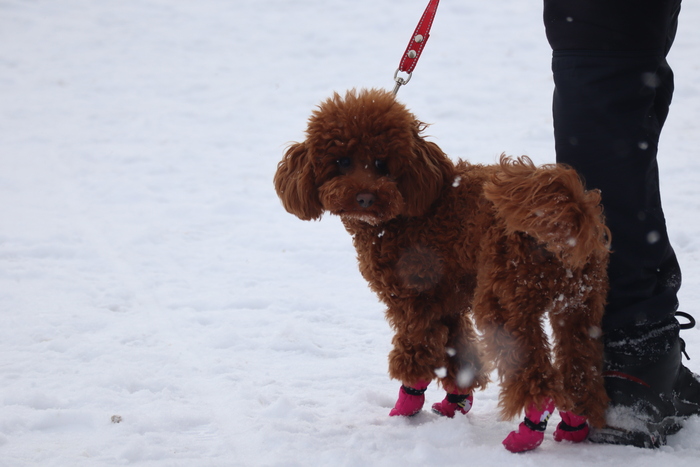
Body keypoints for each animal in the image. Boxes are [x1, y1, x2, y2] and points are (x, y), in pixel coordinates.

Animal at [274, 88, 610, 452]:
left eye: (381, 163)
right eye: (342, 162)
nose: (364, 198)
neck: (401, 214)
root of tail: (567, 215)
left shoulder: (413, 299)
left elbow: (418, 350)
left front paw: (406, 405)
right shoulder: (447, 302)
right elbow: (457, 351)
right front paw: (456, 401)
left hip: (505, 299)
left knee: (534, 373)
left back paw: (528, 432)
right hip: (579, 302)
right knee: (580, 368)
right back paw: (574, 424)